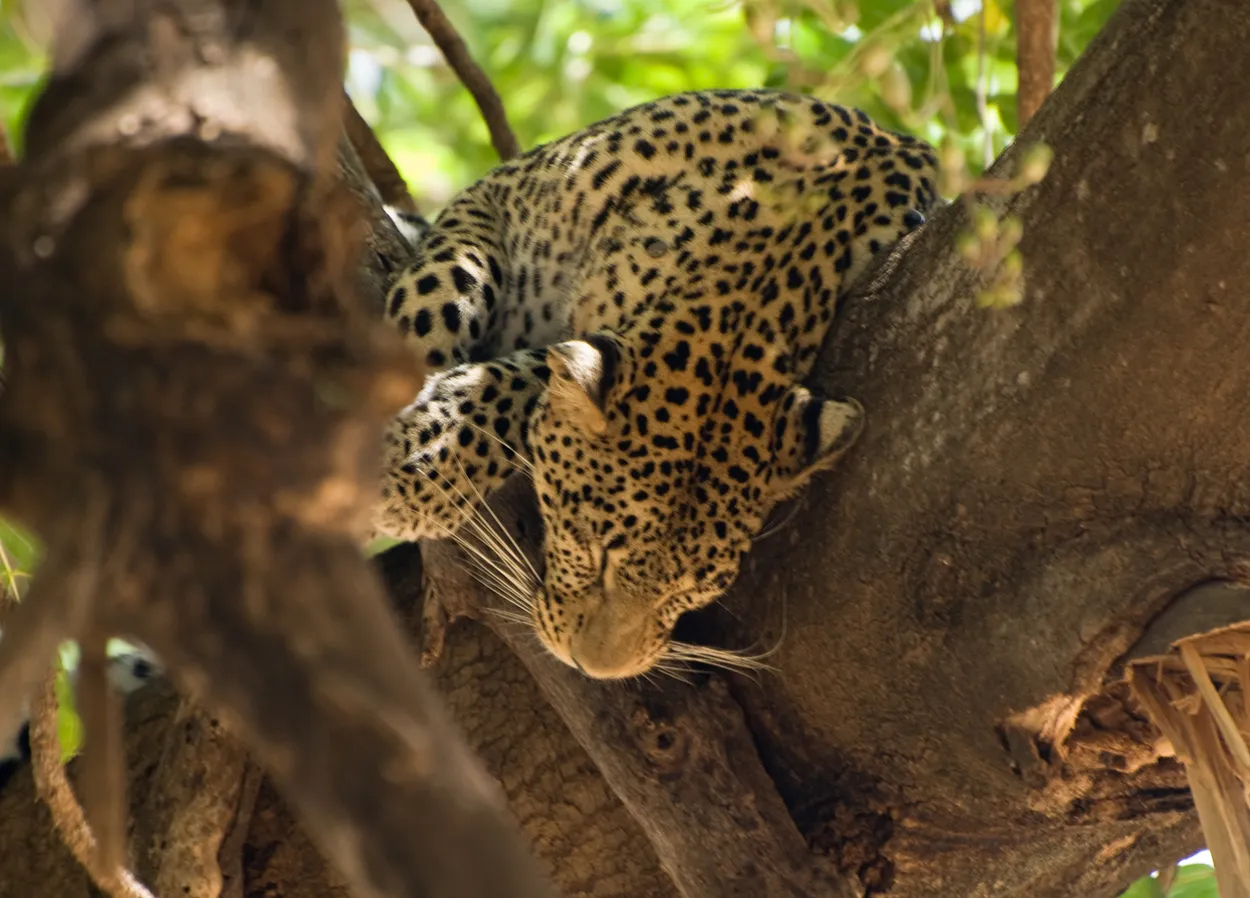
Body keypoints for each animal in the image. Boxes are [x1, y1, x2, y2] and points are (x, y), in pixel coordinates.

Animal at [372, 89, 939, 679]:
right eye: (591, 549)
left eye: (689, 592)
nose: (591, 667)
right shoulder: (498, 198)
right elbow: (451, 275)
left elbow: (530, 373)